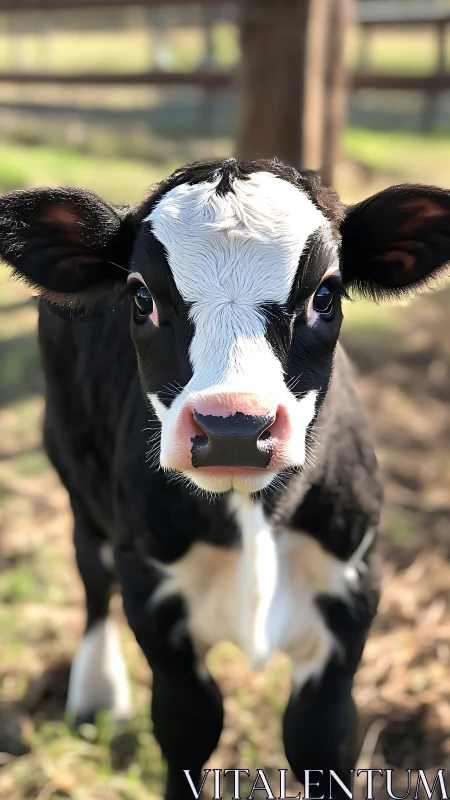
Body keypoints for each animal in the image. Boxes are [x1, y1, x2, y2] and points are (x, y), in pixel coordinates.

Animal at [1, 158, 449, 800]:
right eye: (141, 296)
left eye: (326, 294)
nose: (233, 425)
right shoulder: (152, 594)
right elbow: (191, 724)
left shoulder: (354, 589)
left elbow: (319, 739)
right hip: (68, 460)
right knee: (91, 573)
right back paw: (95, 694)